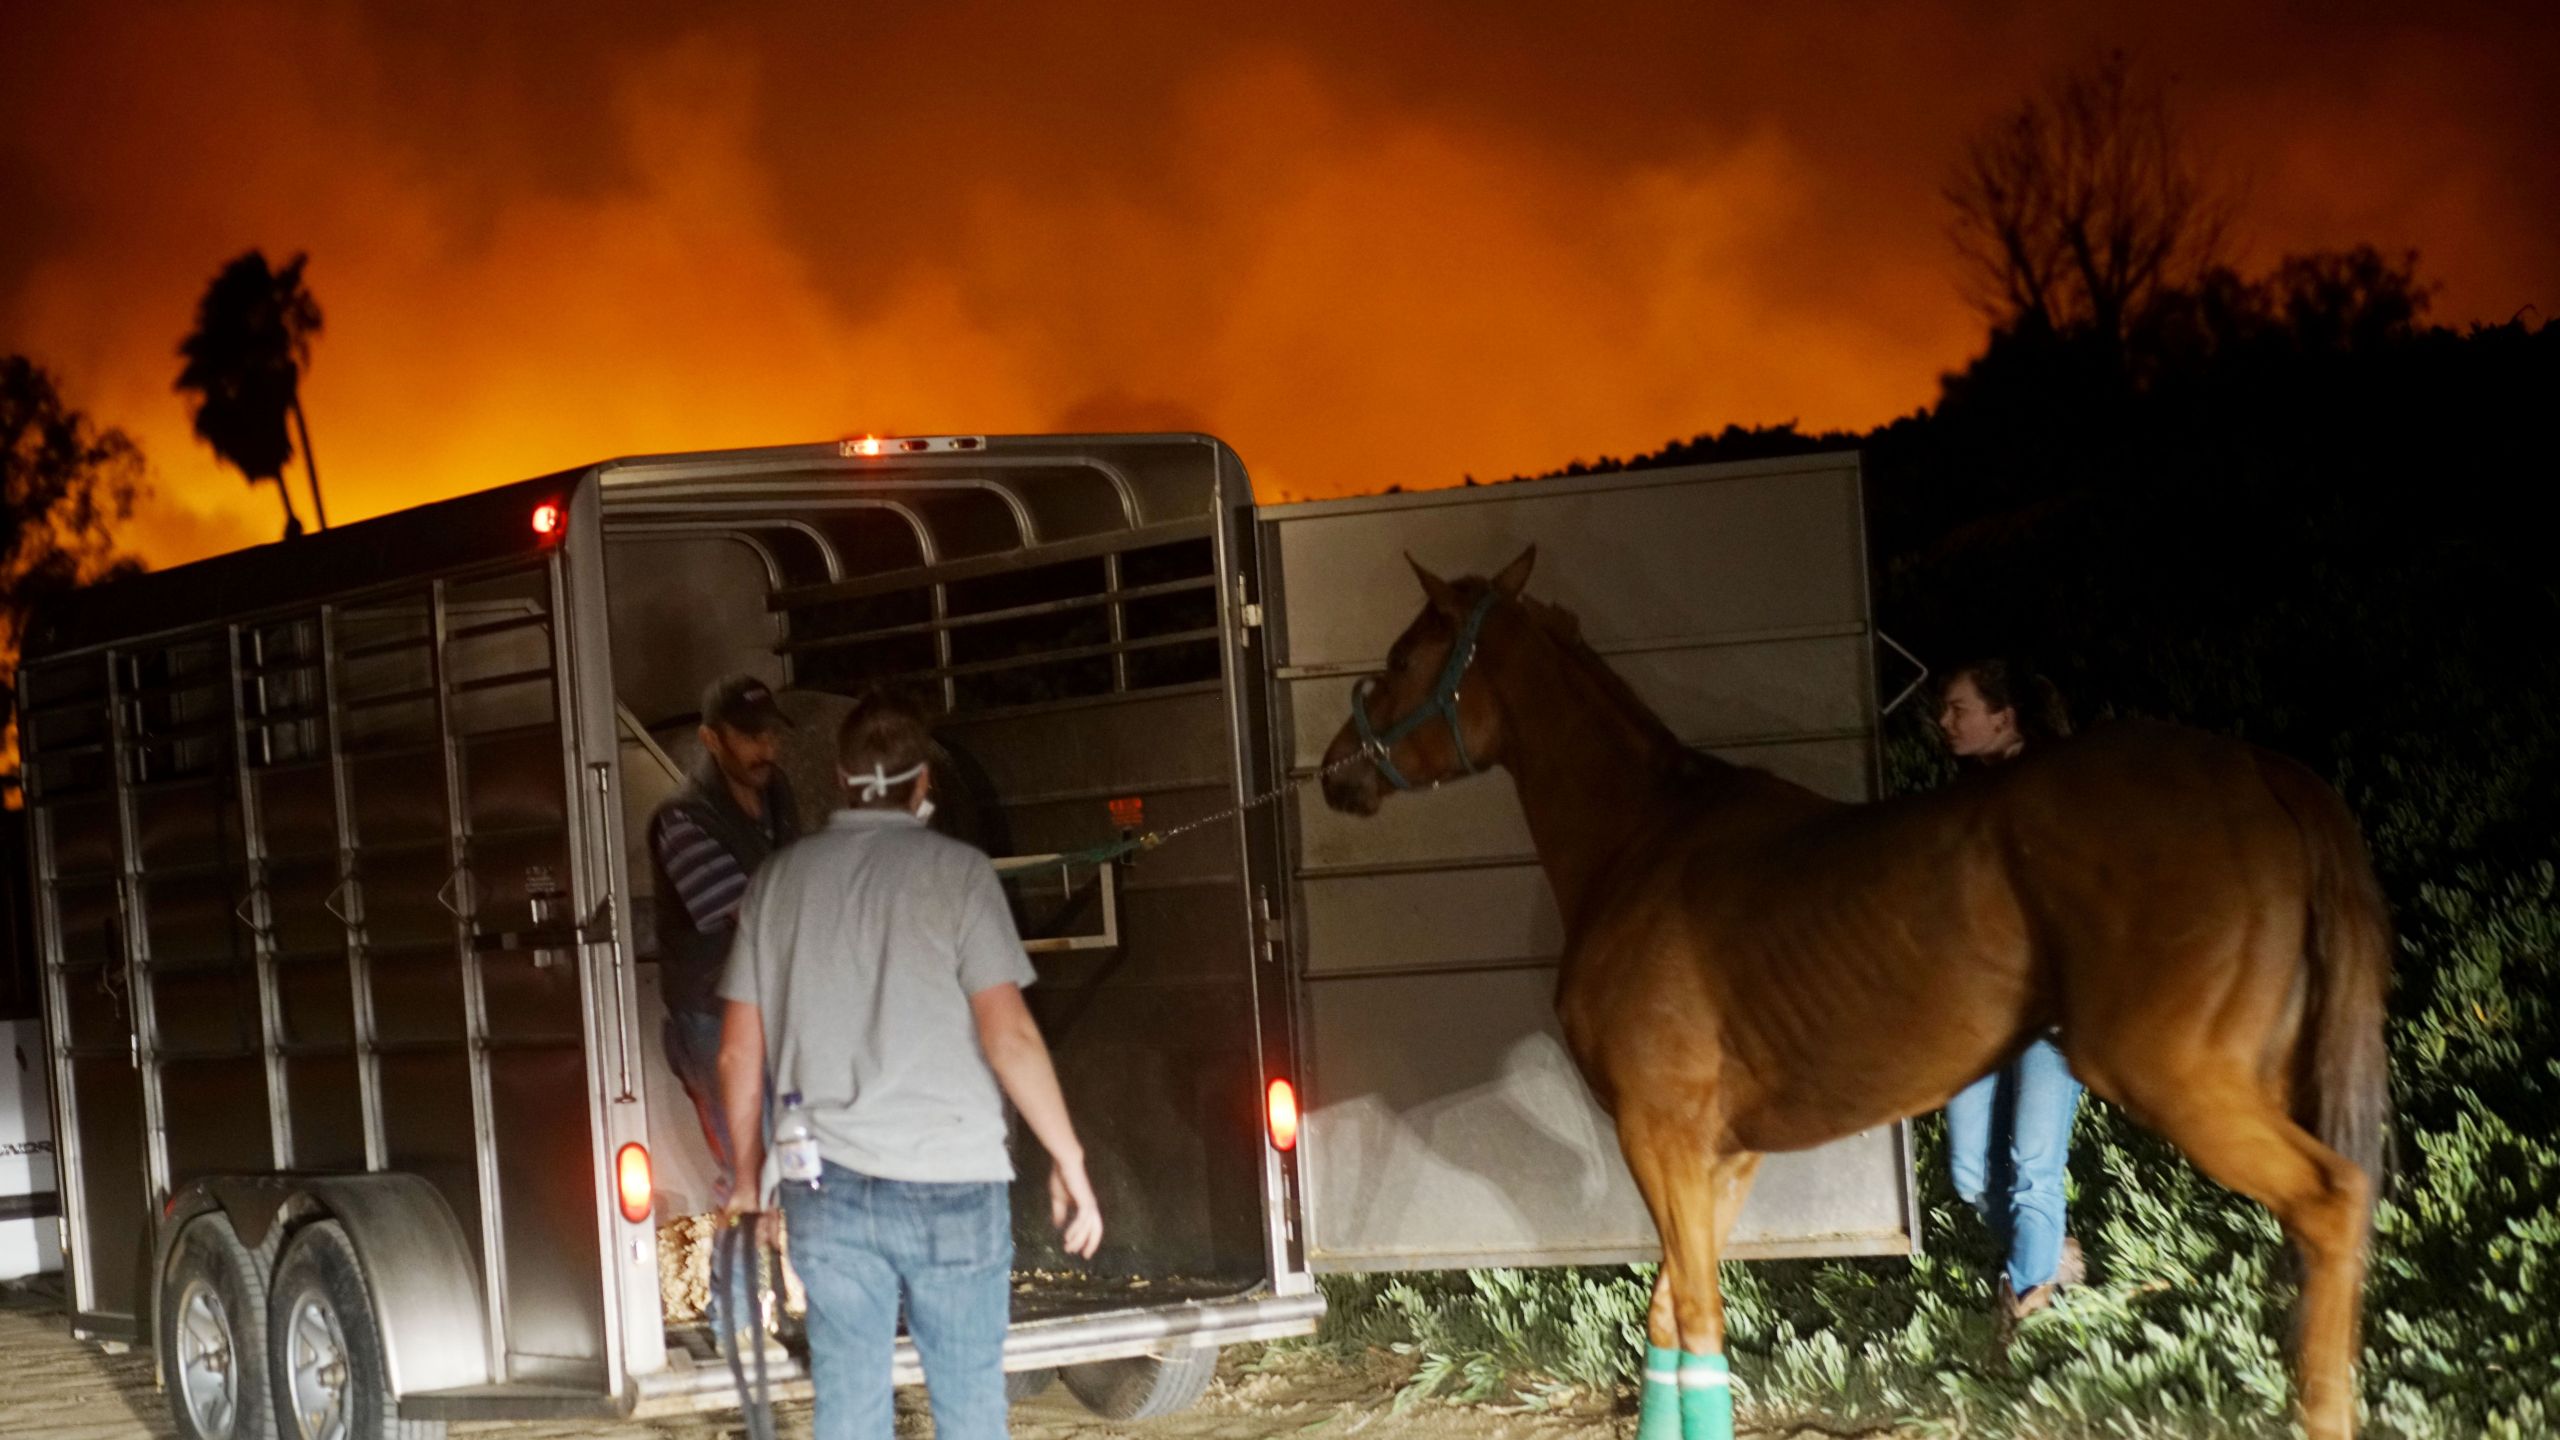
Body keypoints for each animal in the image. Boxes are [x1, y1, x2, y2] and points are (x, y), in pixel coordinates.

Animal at [1320, 545, 2396, 1434]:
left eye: (1404, 656)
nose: (1334, 772)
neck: (1645, 837)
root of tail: (2263, 772)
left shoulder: (1660, 1135)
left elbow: (1698, 1325)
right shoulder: (1720, 1157)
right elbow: (1670, 1320)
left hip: (2180, 1079)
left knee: (2334, 1202)